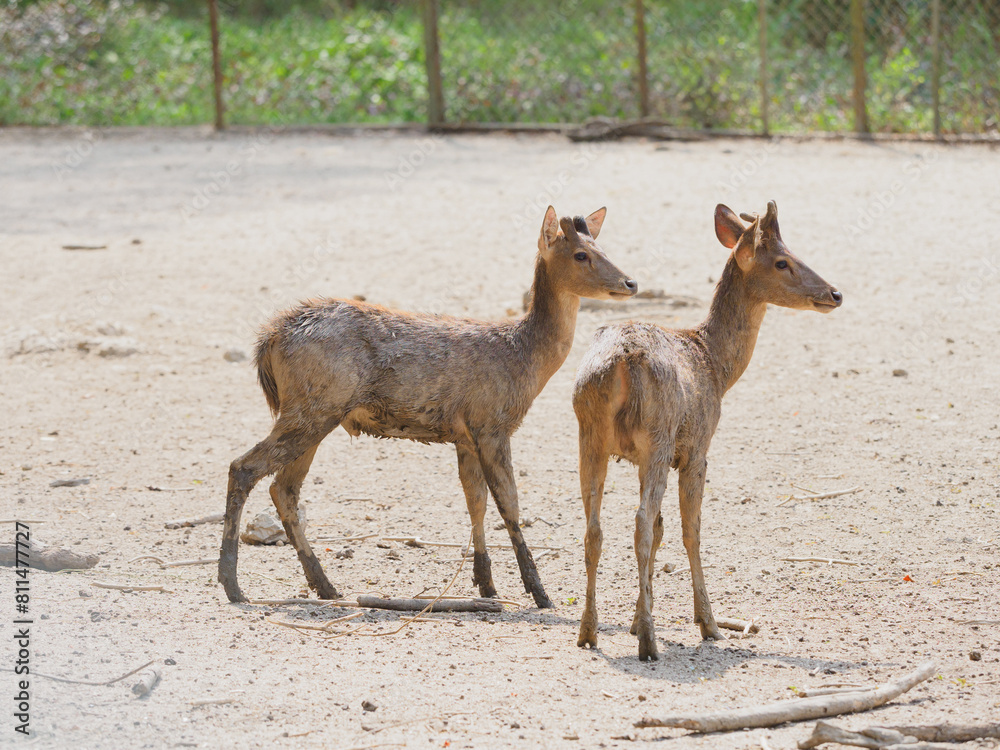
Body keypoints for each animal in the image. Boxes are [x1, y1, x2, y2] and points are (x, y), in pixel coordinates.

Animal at [218, 206, 638, 608]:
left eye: (601, 246)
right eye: (581, 254)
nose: (630, 282)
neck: (525, 360)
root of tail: (269, 337)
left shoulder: (465, 436)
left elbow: (476, 502)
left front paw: (487, 585)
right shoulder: (492, 423)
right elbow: (510, 505)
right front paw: (539, 593)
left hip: (316, 413)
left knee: (283, 488)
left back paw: (325, 586)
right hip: (312, 407)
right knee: (244, 467)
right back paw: (233, 585)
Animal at [572, 201, 842, 660]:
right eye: (782, 261)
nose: (835, 293)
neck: (717, 365)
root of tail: (622, 363)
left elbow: (663, 530)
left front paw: (634, 618)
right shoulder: (697, 448)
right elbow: (688, 531)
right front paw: (707, 624)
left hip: (588, 435)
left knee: (595, 528)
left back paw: (588, 632)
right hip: (658, 436)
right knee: (640, 522)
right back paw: (649, 643)